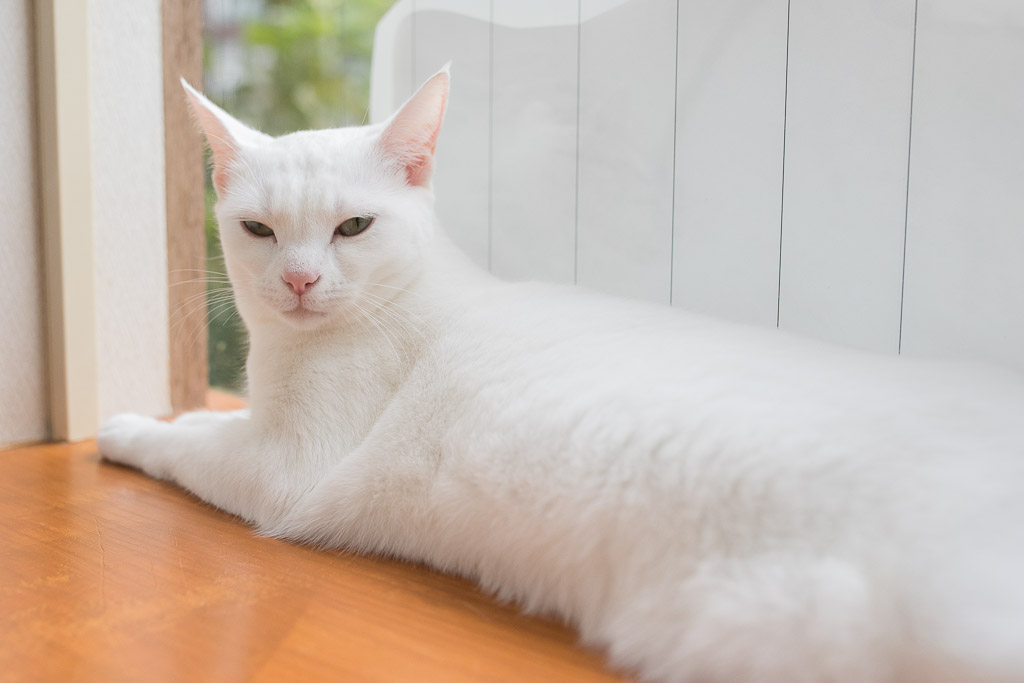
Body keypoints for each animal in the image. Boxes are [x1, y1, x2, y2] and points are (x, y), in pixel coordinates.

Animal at [99, 68, 1024, 683]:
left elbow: (190, 445)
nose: (295, 280)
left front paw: (129, 425)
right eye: (258, 229)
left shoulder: (285, 468)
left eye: (353, 227)